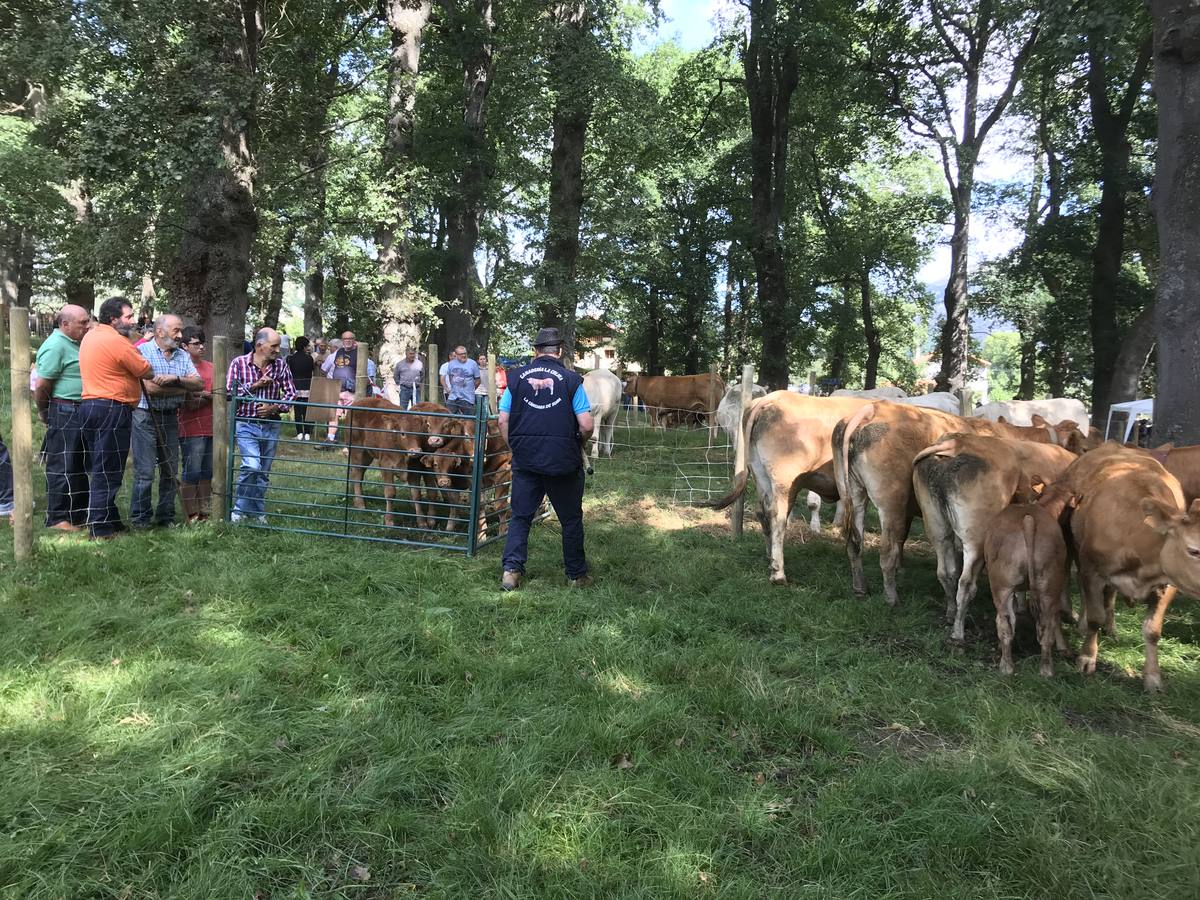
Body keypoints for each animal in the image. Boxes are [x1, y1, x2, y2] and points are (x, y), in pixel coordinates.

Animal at [700, 391, 873, 588]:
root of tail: (772, 397)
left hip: (761, 475)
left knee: (763, 512)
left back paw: (770, 558)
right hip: (784, 480)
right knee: (778, 516)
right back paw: (778, 573)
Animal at [835, 405, 1089, 609]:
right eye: (1083, 446)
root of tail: (872, 408)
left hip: (855, 494)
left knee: (854, 542)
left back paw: (860, 588)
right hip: (891, 503)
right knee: (886, 552)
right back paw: (892, 598)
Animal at [907, 434, 1080, 643]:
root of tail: (956, 441)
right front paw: (1070, 614)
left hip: (938, 529)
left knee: (945, 573)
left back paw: (951, 614)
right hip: (976, 539)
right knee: (966, 583)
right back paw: (958, 632)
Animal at [1060, 448, 1200, 696]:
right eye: (1193, 550)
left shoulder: (1168, 584)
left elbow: (1153, 631)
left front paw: (1153, 678)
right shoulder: (1092, 570)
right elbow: (1095, 616)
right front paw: (1087, 657)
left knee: (1110, 598)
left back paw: (1111, 628)